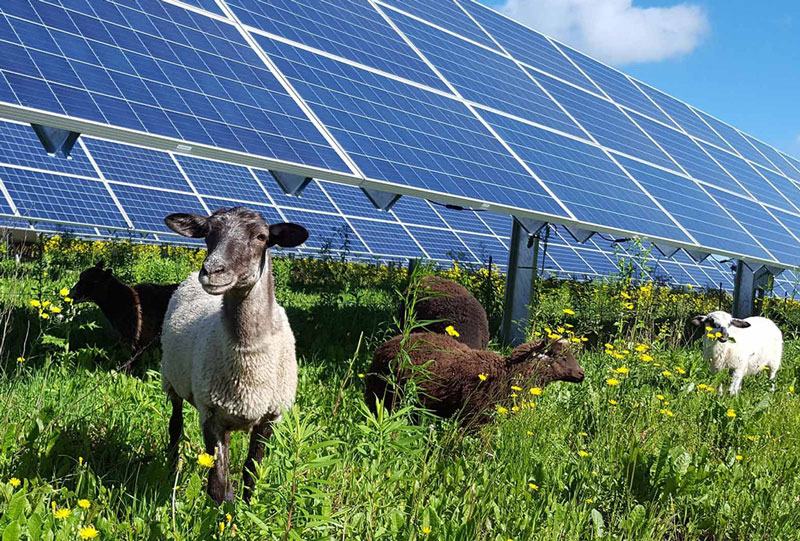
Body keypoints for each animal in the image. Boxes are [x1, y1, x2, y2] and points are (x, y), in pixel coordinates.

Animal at [162, 207, 310, 502]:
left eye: (262, 236)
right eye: (207, 233)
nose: (211, 270)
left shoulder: (269, 416)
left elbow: (252, 472)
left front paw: (247, 507)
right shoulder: (212, 414)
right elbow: (218, 486)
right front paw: (222, 512)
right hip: (172, 381)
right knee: (175, 425)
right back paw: (172, 469)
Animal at [366, 334, 584, 422]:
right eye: (559, 356)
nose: (582, 374)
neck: (507, 374)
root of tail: (384, 346)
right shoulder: (475, 420)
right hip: (383, 396)